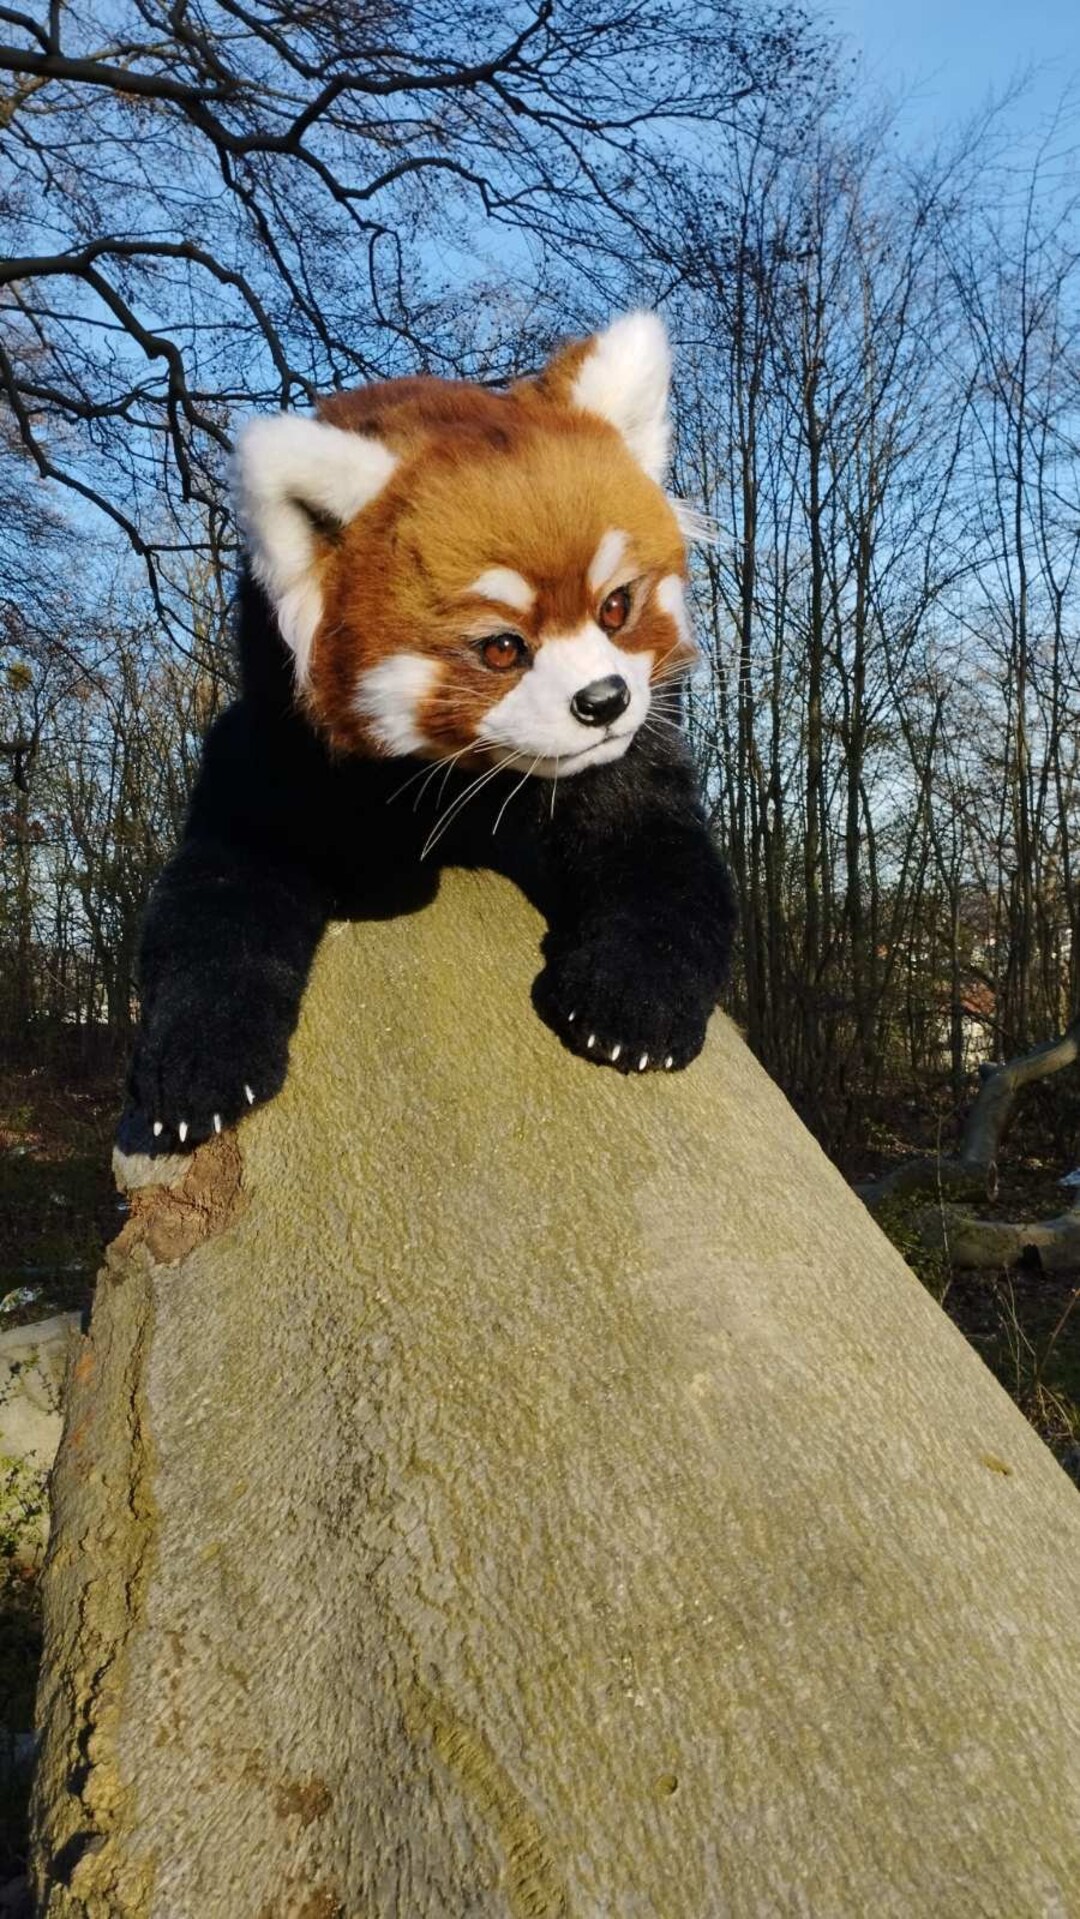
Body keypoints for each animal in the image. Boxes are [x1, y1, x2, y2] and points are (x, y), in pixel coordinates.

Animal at [124, 313, 736, 1153]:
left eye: (616, 607)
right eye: (503, 648)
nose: (604, 700)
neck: (460, 783)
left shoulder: (633, 756)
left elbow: (664, 858)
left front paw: (633, 1004)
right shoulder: (275, 755)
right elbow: (218, 892)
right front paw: (194, 1062)